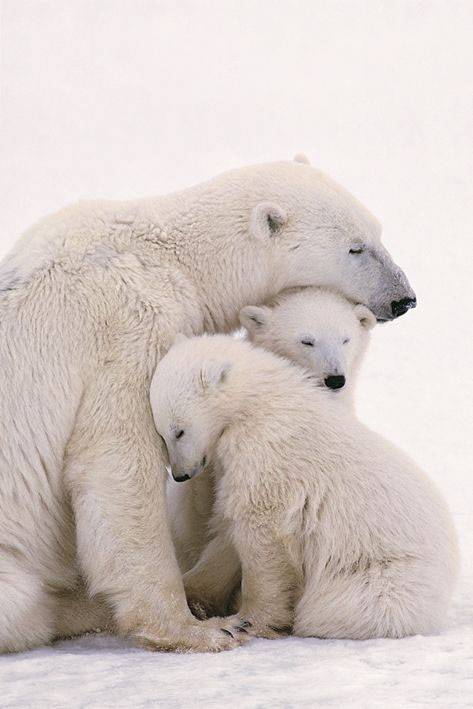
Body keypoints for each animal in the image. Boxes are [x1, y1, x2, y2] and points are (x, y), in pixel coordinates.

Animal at [151, 334, 458, 640]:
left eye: (179, 431)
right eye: (162, 433)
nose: (180, 475)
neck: (256, 403)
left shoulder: (267, 454)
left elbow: (262, 535)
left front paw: (251, 620)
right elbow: (228, 530)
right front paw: (194, 594)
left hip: (385, 575)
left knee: (338, 607)